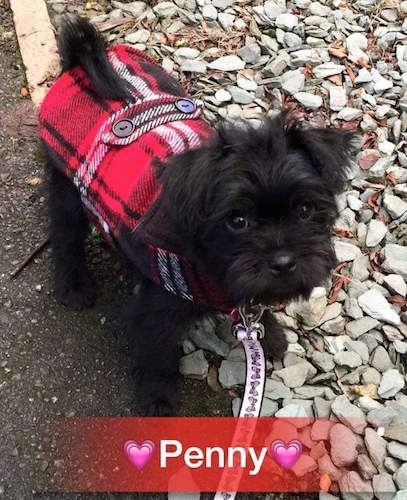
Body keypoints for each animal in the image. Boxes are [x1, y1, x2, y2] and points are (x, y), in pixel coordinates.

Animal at [39, 15, 356, 416]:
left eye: (304, 209)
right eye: (238, 222)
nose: (284, 261)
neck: (210, 263)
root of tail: (78, 66)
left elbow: (253, 306)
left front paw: (268, 333)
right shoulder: (157, 313)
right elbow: (157, 356)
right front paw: (157, 399)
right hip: (68, 189)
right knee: (65, 234)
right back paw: (74, 285)